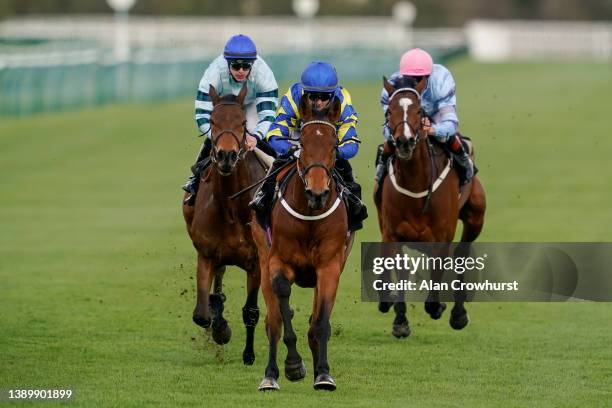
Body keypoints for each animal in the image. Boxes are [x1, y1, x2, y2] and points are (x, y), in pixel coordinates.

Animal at [182, 84, 268, 364]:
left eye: (242, 123)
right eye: (212, 121)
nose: (227, 156)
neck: (232, 208)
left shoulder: (256, 263)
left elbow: (251, 310)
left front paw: (249, 355)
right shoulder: (207, 254)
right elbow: (201, 315)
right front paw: (220, 328)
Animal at [256, 94, 352, 390]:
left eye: (334, 146)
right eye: (304, 144)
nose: (317, 192)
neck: (309, 215)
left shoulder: (330, 266)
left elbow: (320, 322)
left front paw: (323, 373)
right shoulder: (278, 261)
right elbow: (282, 309)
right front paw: (291, 365)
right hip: (262, 258)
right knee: (273, 320)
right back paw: (272, 373)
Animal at [376, 75, 486, 338]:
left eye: (419, 111)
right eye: (389, 112)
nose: (404, 142)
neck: (416, 184)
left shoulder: (442, 236)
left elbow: (438, 273)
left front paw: (438, 307)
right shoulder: (392, 233)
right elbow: (396, 269)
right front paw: (398, 317)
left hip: (476, 216)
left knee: (461, 255)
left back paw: (458, 314)